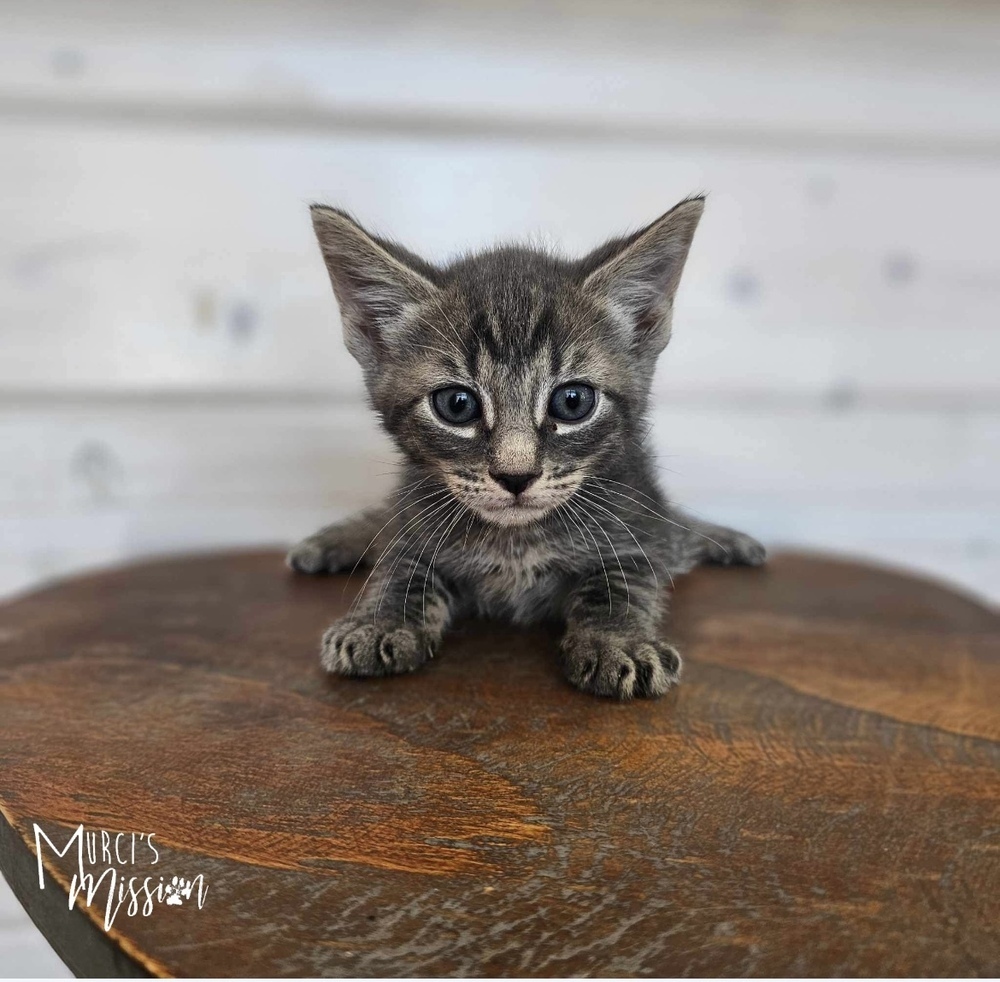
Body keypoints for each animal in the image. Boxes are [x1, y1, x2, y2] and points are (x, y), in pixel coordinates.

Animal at [290, 200, 764, 704]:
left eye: (572, 402)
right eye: (457, 405)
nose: (515, 476)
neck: (517, 541)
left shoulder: (636, 528)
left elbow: (621, 583)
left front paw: (619, 640)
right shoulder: (413, 518)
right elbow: (400, 567)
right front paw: (378, 621)